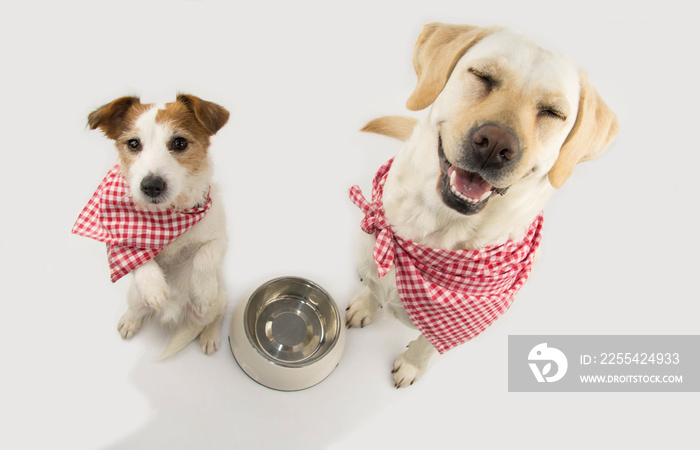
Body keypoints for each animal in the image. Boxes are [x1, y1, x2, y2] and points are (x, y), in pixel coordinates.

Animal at [77, 94, 230, 358]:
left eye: (179, 143)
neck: (165, 216)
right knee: (137, 308)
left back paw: (210, 334)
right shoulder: (116, 242)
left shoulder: (220, 236)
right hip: (134, 296)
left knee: (214, 316)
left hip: (218, 301)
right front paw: (153, 286)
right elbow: (136, 257)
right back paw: (130, 320)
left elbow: (205, 254)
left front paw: (202, 291)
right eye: (133, 144)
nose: (151, 186)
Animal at [344, 23, 616, 386]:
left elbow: (425, 345)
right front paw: (365, 304)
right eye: (482, 76)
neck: (433, 227)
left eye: (553, 113)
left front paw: (411, 365)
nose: (495, 145)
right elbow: (374, 289)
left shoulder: (454, 327)